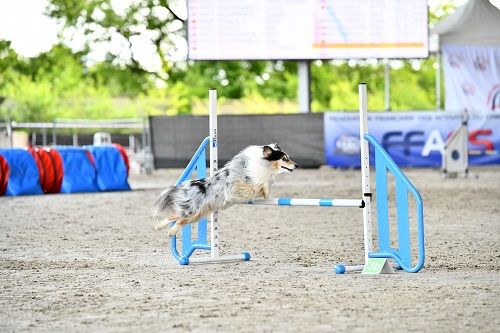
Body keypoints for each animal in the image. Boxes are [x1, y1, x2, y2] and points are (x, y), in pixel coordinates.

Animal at [154, 143, 298, 236]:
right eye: (284, 158)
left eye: (288, 157)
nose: (297, 165)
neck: (262, 164)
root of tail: (183, 186)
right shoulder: (240, 186)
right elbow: (260, 184)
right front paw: (265, 191)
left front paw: (265, 192)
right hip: (192, 210)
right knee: (177, 218)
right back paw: (166, 230)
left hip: (197, 214)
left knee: (177, 218)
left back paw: (163, 228)